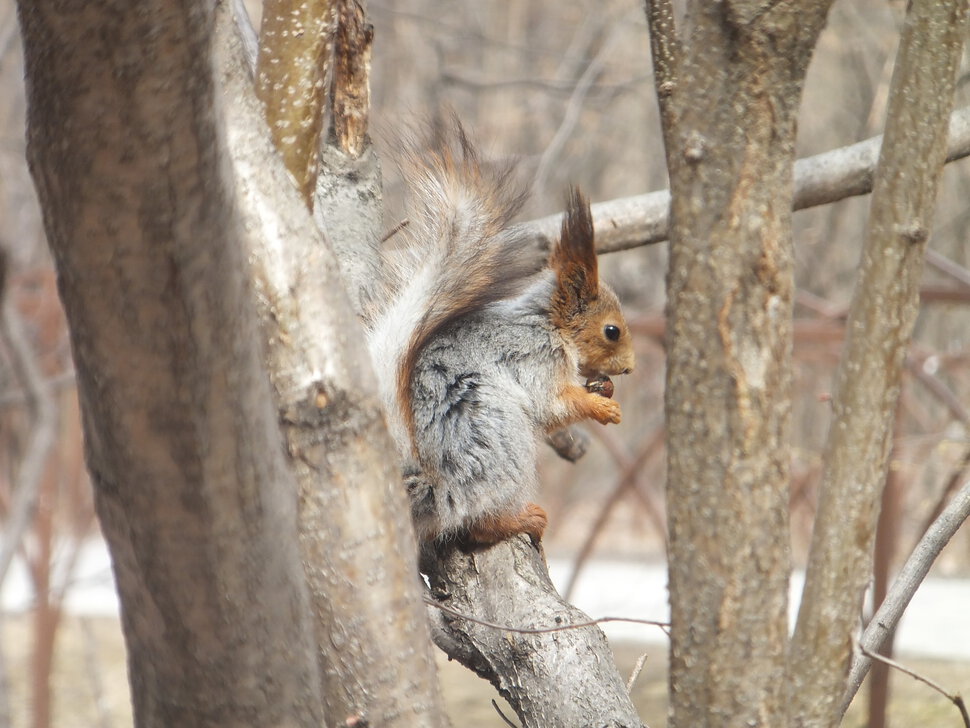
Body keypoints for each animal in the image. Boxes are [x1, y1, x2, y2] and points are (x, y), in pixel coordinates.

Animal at [364, 125, 636, 544]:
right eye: (612, 331)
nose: (630, 368)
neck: (549, 324)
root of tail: (437, 483)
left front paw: (603, 390)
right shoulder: (537, 356)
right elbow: (552, 405)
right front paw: (602, 408)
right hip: (501, 436)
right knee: (476, 519)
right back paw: (520, 520)